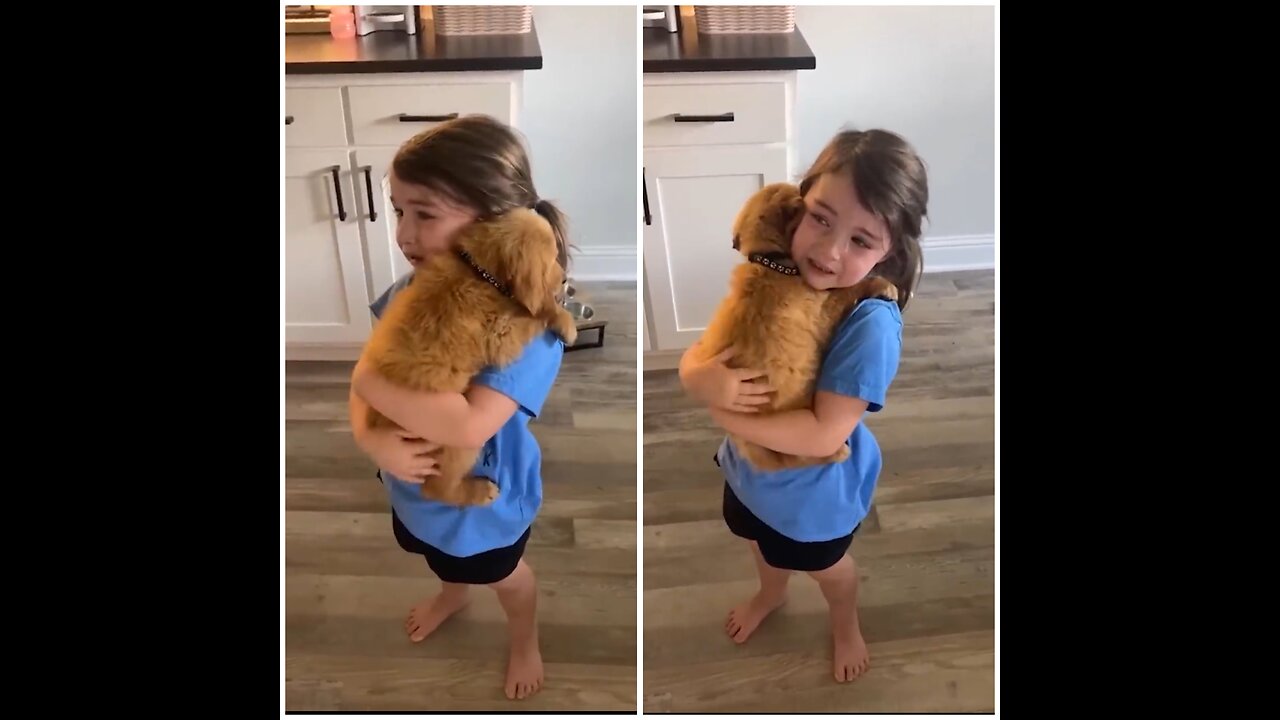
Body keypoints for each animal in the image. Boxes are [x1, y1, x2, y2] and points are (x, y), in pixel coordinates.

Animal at [355, 207, 576, 504]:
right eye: (550, 258)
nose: (565, 280)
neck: (481, 273)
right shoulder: (499, 335)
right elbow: (532, 314)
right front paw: (564, 320)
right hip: (456, 440)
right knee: (436, 488)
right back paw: (478, 491)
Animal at [696, 181, 896, 468]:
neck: (772, 262)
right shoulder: (824, 312)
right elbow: (848, 289)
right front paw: (883, 284)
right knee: (802, 455)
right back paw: (838, 453)